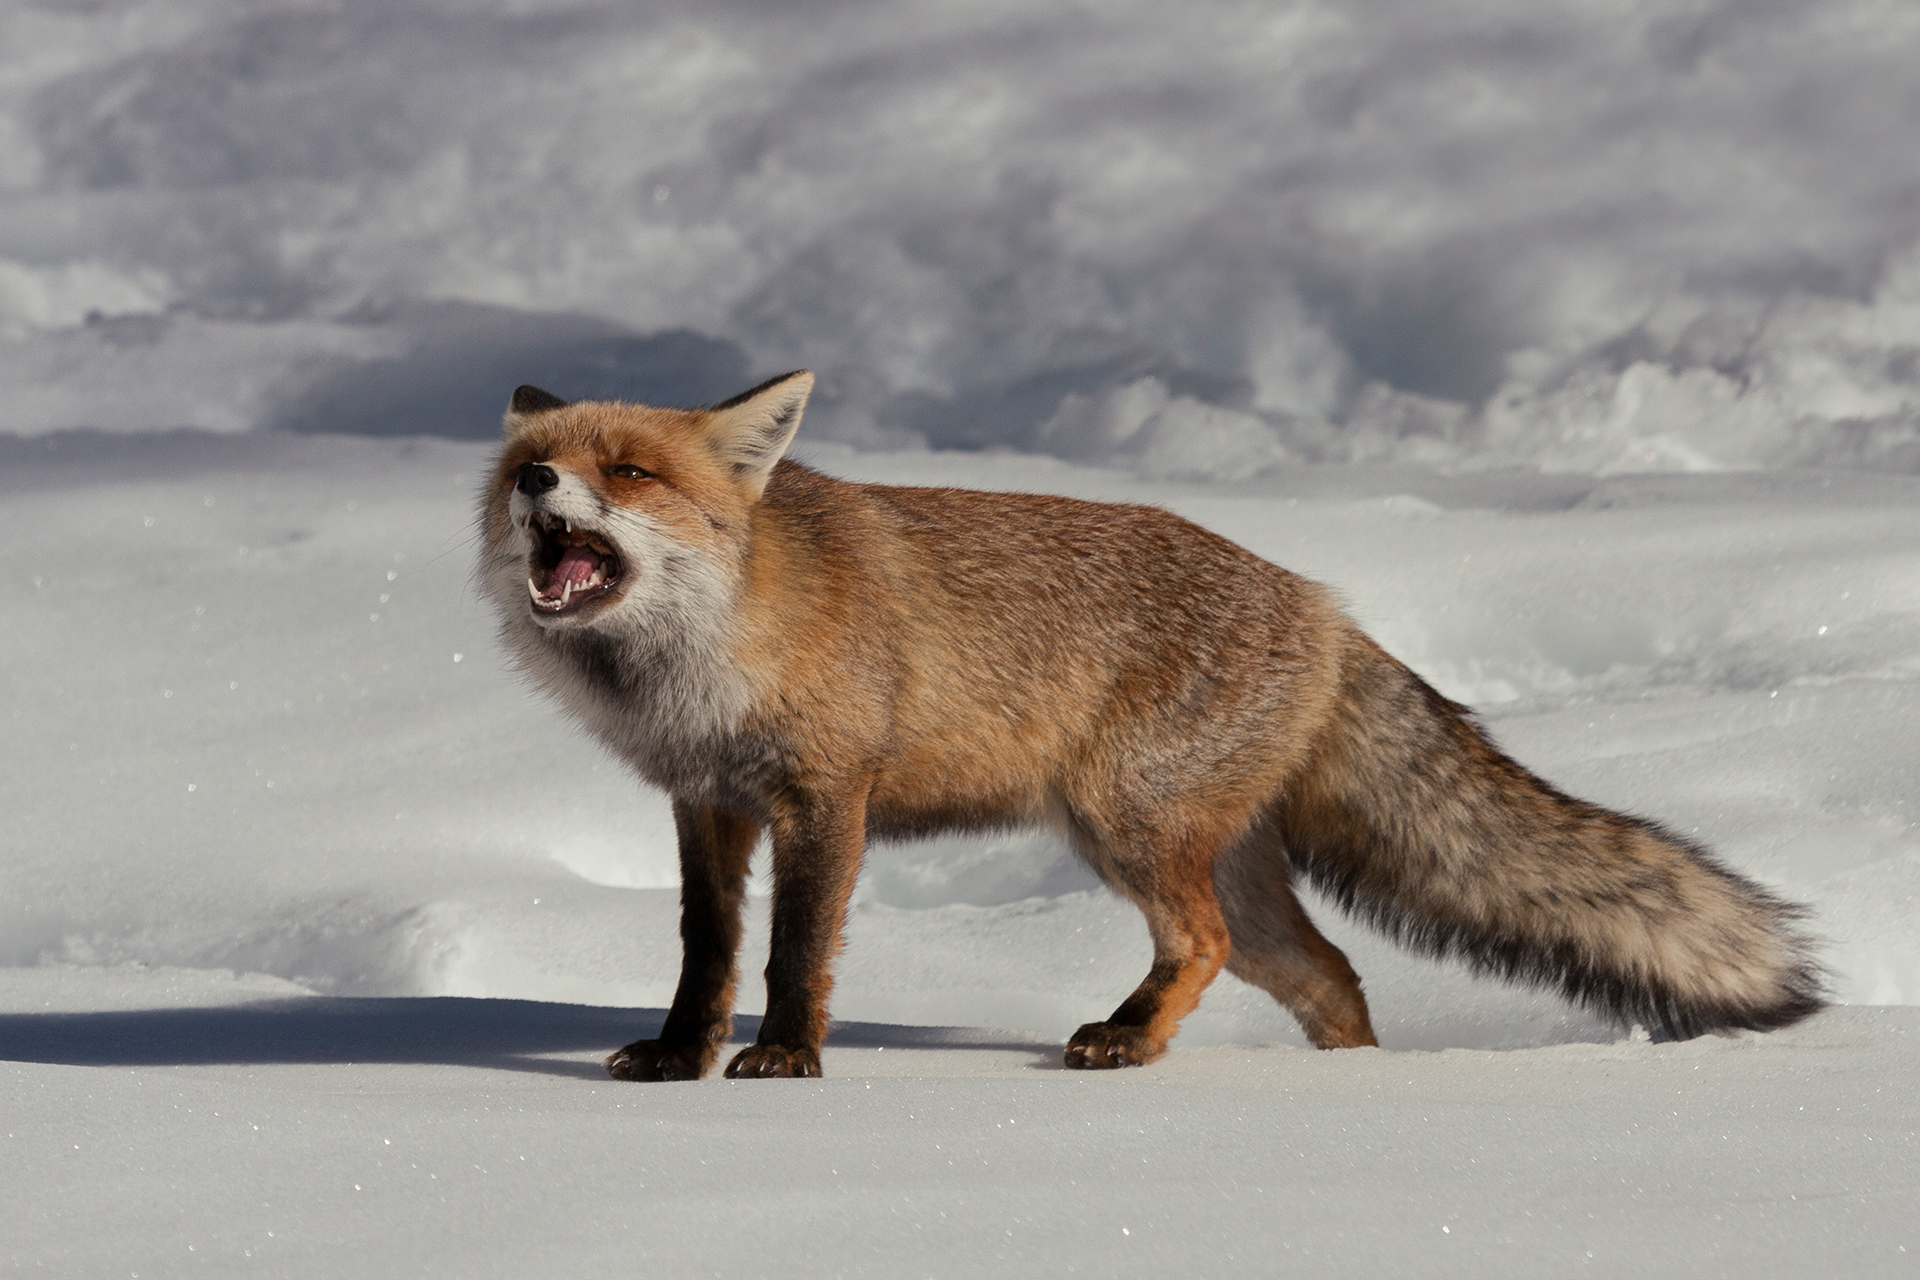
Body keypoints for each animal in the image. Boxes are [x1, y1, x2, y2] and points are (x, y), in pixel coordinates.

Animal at [478, 370, 1824, 1080]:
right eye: (525, 466)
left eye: (633, 471)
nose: (540, 482)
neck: (706, 655)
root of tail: (1325, 605)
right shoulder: (706, 799)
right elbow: (706, 950)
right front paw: (678, 1060)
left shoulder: (826, 794)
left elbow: (794, 953)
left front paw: (785, 1062)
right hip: (1213, 858)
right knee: (1328, 971)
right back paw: (1345, 1088)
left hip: (1127, 826)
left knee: (1208, 941)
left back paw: (1128, 1039)